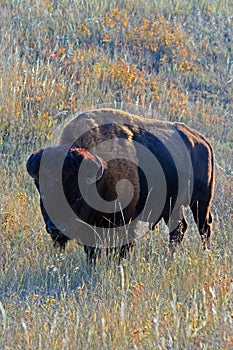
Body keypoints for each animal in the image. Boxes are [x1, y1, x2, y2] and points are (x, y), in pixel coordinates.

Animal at [26, 109, 214, 262]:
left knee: (203, 227)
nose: (56, 228)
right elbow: (92, 250)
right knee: (179, 228)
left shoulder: (124, 220)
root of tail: (201, 141)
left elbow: (120, 247)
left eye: (79, 197)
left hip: (201, 201)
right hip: (172, 206)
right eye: (43, 195)